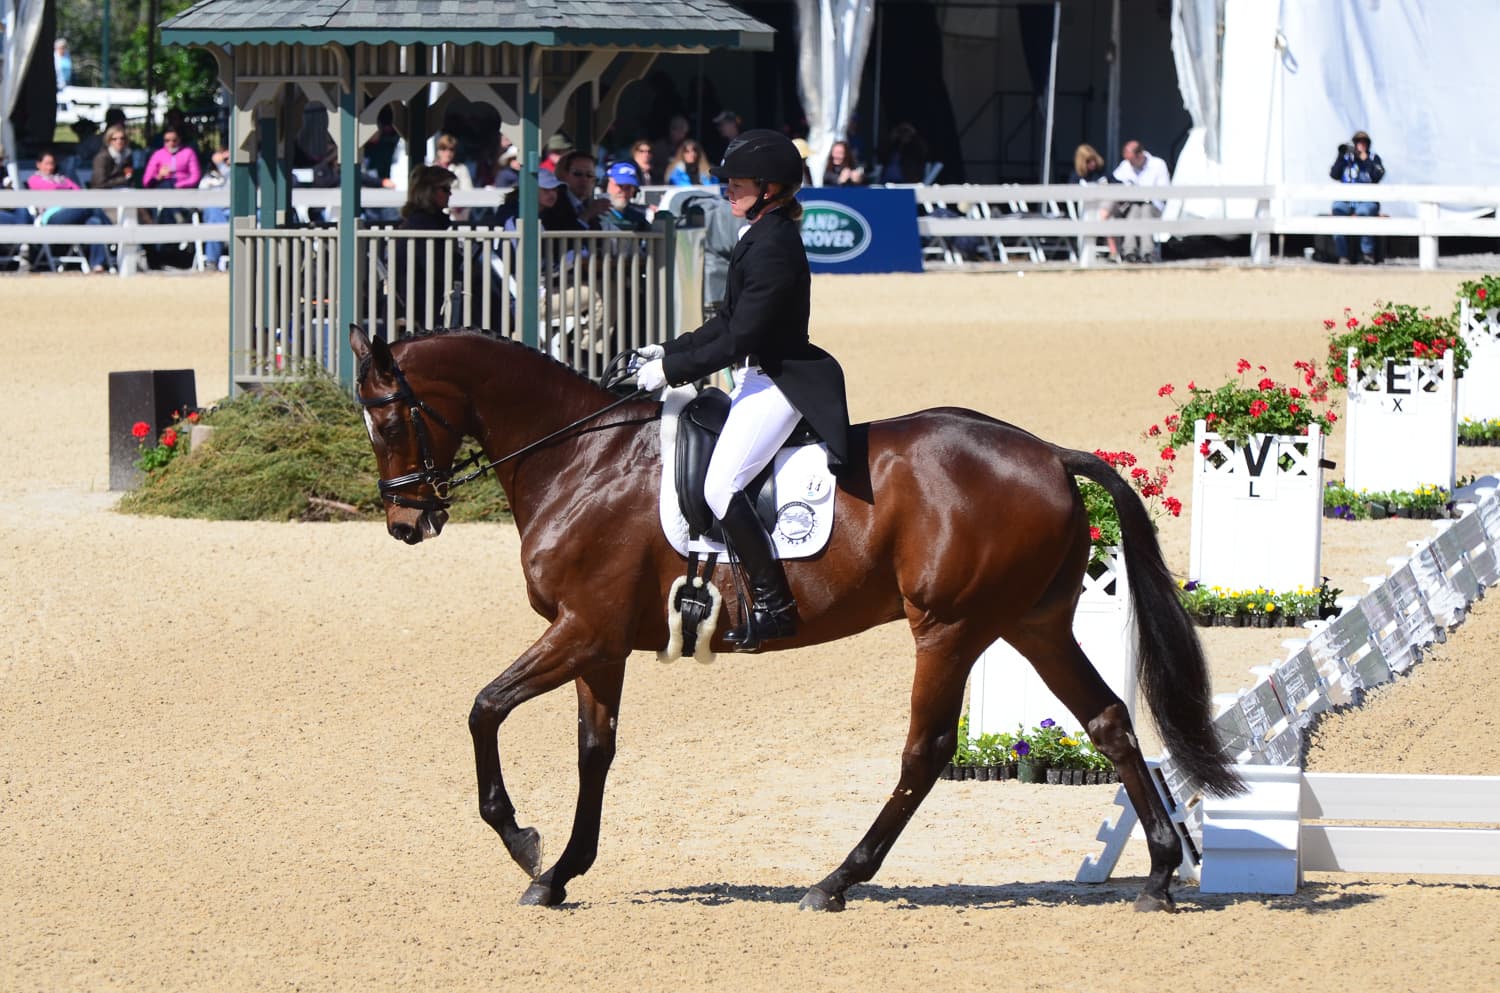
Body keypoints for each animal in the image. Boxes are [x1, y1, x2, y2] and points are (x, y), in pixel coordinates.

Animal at [348, 325, 1242, 913]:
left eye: (388, 418)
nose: (406, 523)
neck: (580, 459)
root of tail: (1050, 453)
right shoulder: (601, 645)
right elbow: (593, 752)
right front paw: (560, 870)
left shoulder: (583, 630)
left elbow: (484, 707)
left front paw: (522, 840)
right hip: (1035, 623)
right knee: (1110, 719)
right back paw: (1160, 873)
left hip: (950, 627)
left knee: (927, 750)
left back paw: (836, 881)